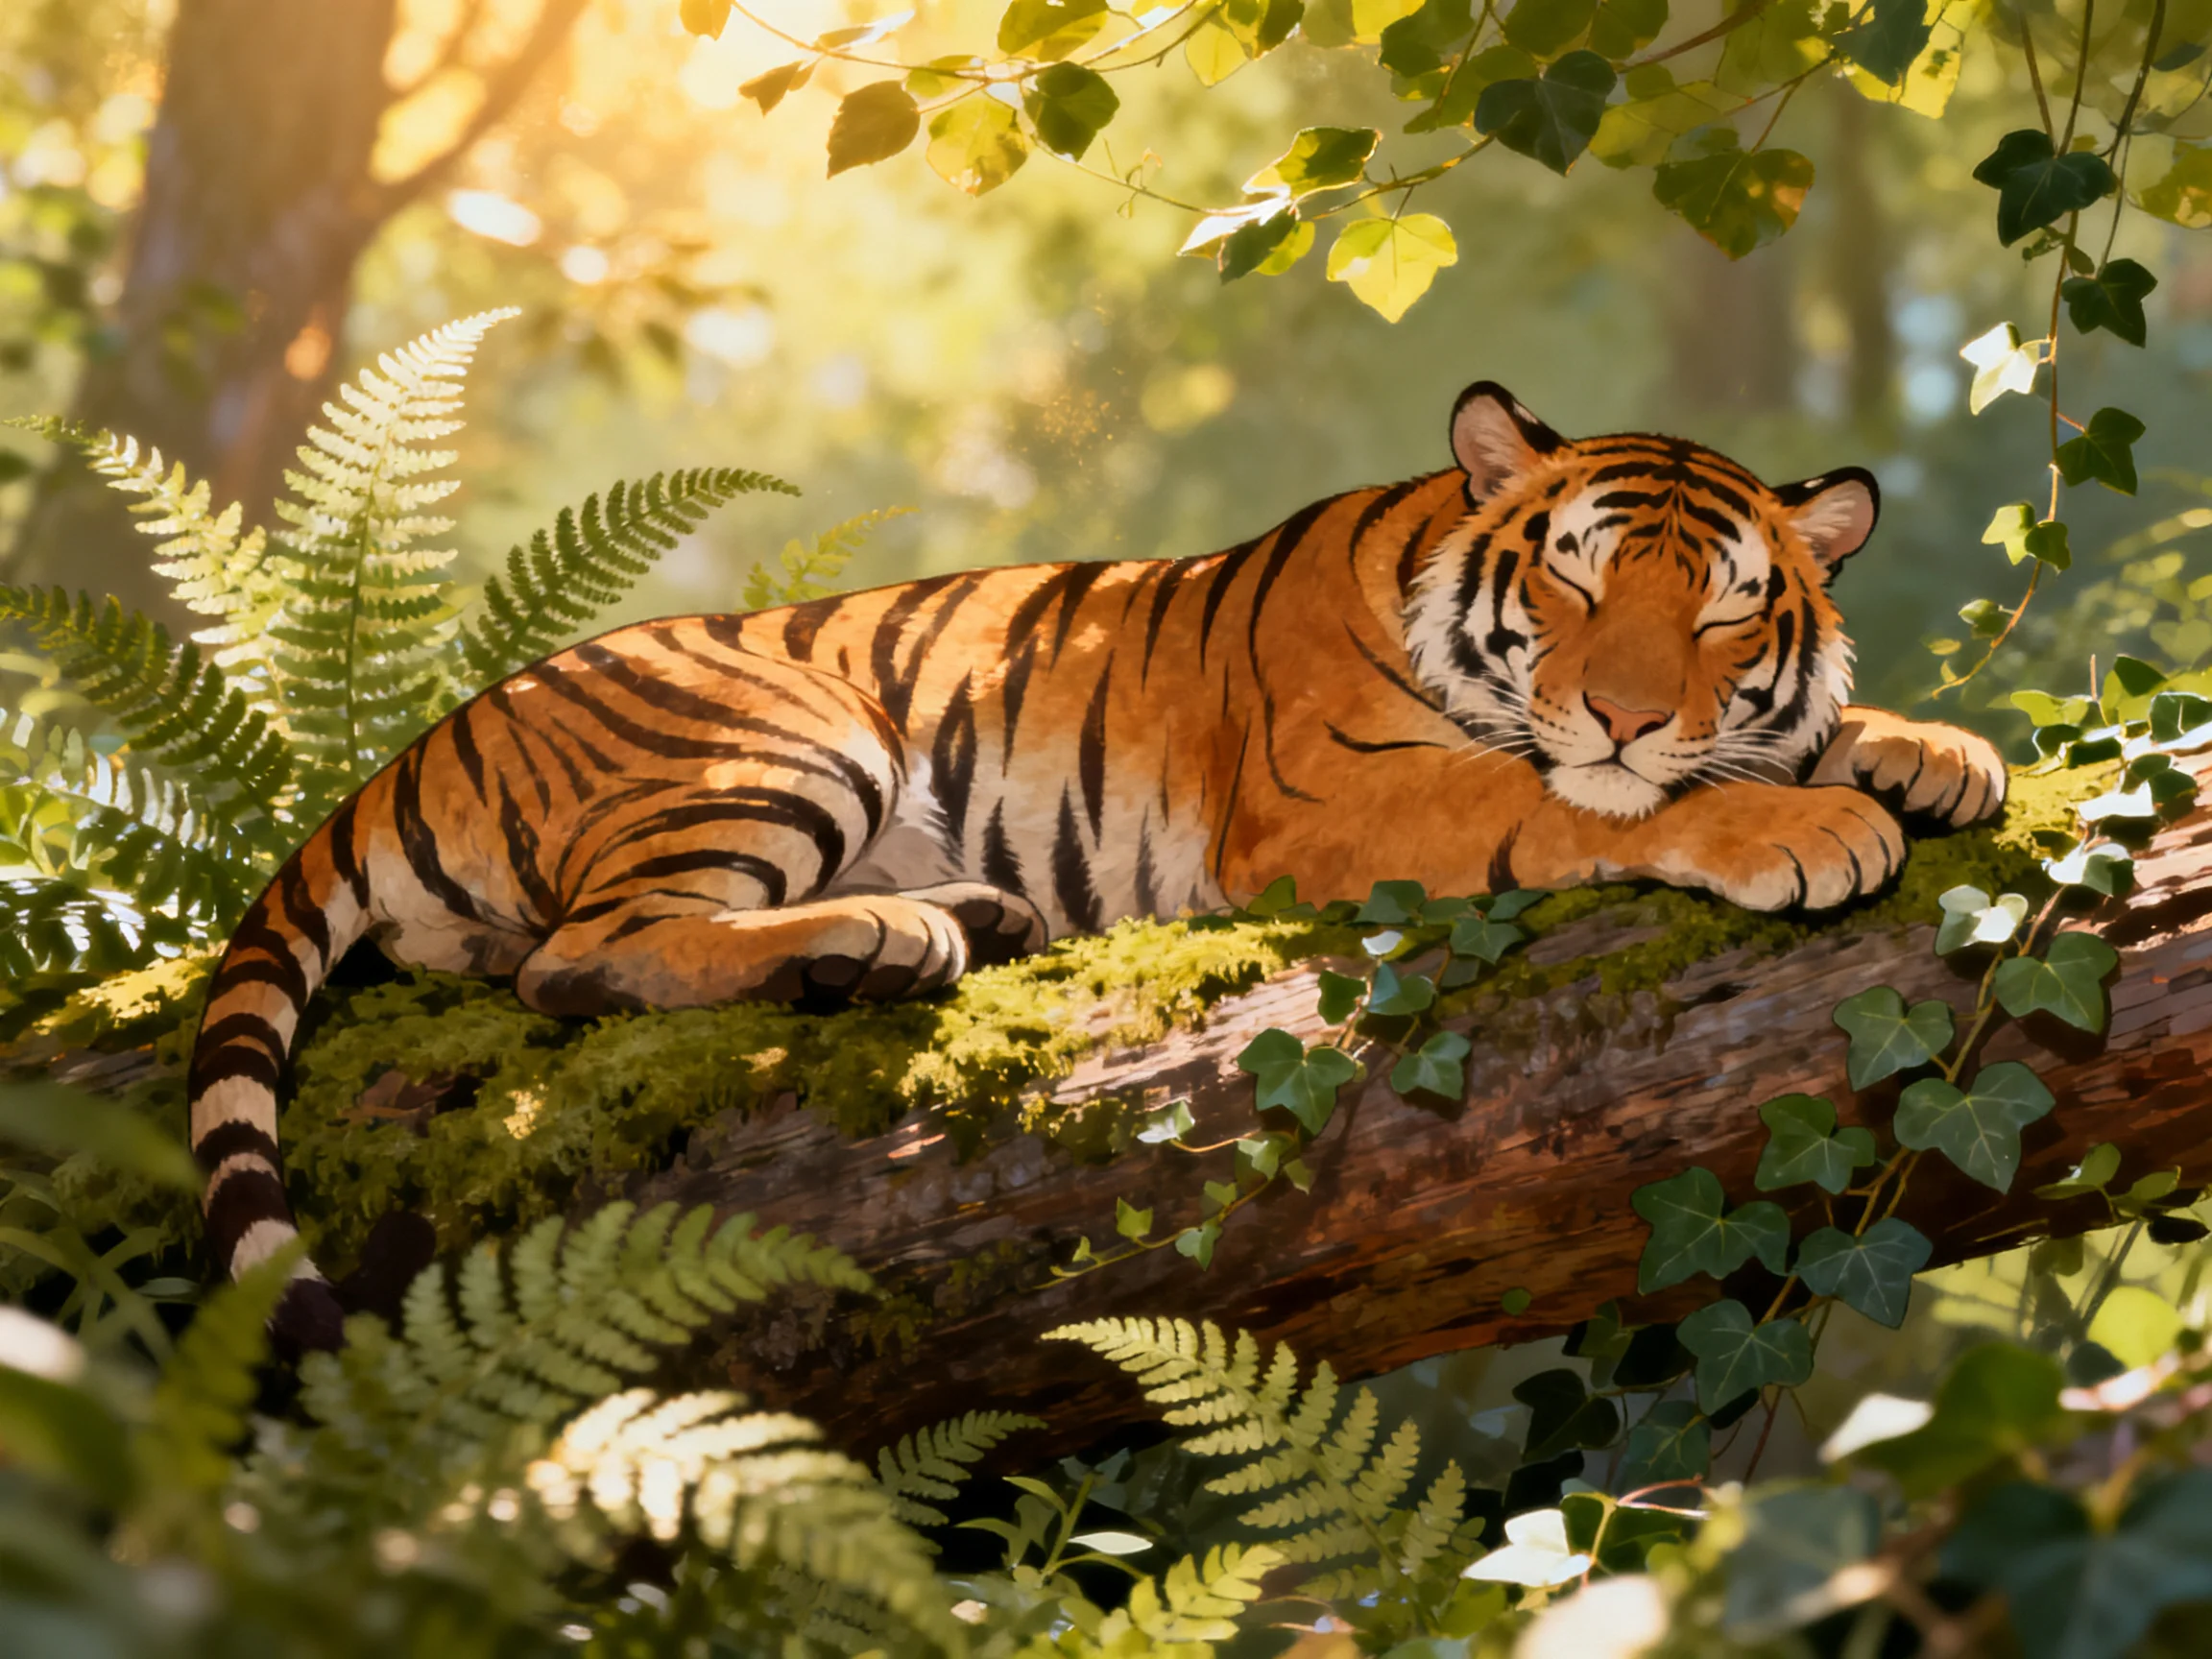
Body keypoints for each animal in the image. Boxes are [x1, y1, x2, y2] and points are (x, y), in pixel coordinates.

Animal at [187, 382, 2007, 1350]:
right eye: (1569, 584)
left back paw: (948, 916)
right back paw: (891, 938)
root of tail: (409, 745)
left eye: (1723, 611)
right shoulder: (1339, 803)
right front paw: (1797, 824)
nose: (1630, 707)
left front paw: (1924, 748)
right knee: (583, 954)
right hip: (789, 733)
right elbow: (1582, 805)